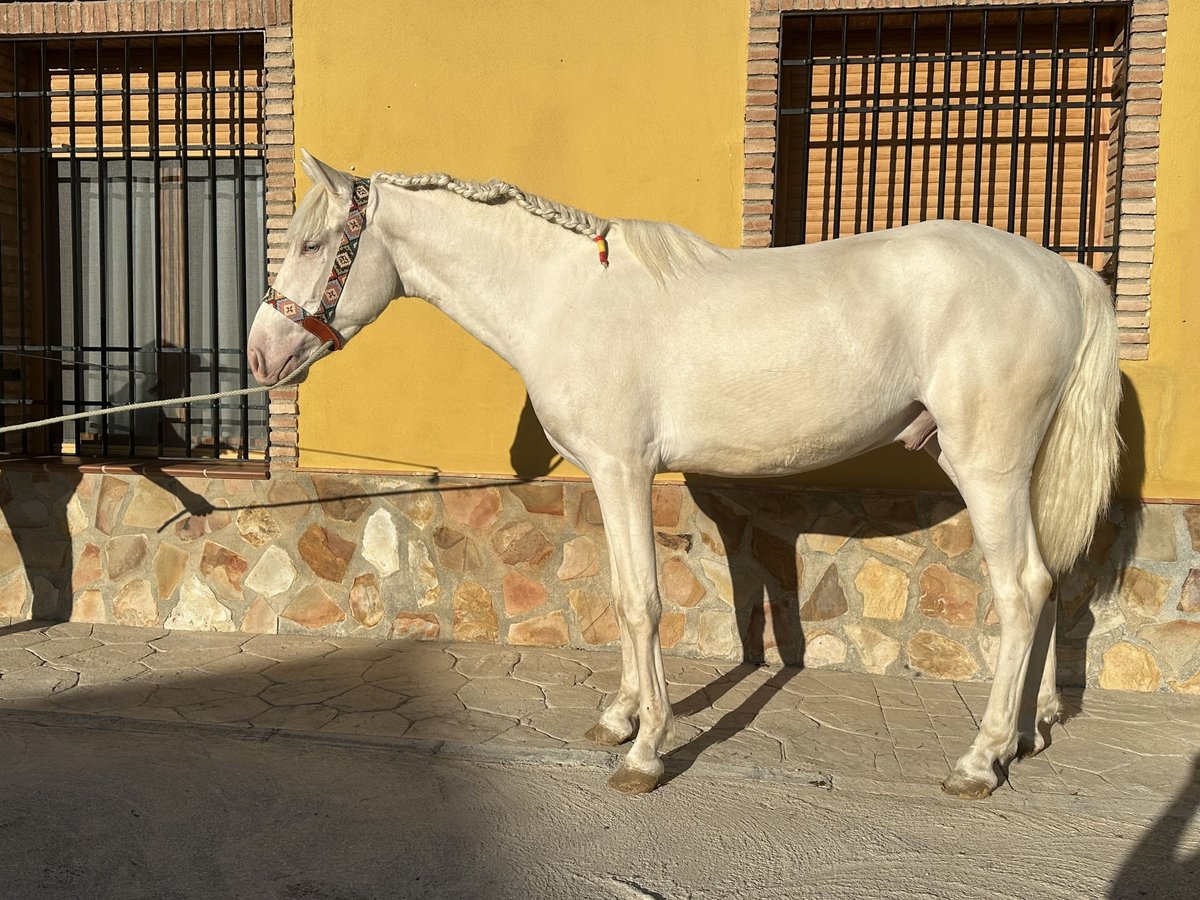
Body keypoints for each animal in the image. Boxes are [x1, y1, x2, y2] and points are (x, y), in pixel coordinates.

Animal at [248, 151, 1118, 801]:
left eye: (312, 245)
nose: (261, 355)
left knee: (1021, 588)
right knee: (1050, 582)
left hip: (987, 464)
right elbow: (624, 595)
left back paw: (979, 758)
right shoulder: (612, 480)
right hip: (1016, 468)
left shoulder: (623, 470)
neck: (564, 297)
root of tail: (1062, 272)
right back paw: (1028, 733)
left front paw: (644, 752)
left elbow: (642, 603)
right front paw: (621, 718)